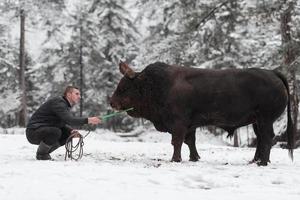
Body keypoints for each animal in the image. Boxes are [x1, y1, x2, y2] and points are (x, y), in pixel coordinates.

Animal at [109, 61, 292, 166]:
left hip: (265, 119)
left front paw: (175, 159)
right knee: (261, 139)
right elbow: (190, 142)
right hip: (257, 121)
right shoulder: (190, 125)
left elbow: (177, 142)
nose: (112, 102)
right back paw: (255, 160)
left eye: (124, 87)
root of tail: (272, 73)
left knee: (267, 138)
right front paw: (194, 158)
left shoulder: (178, 124)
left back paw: (262, 162)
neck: (156, 85)